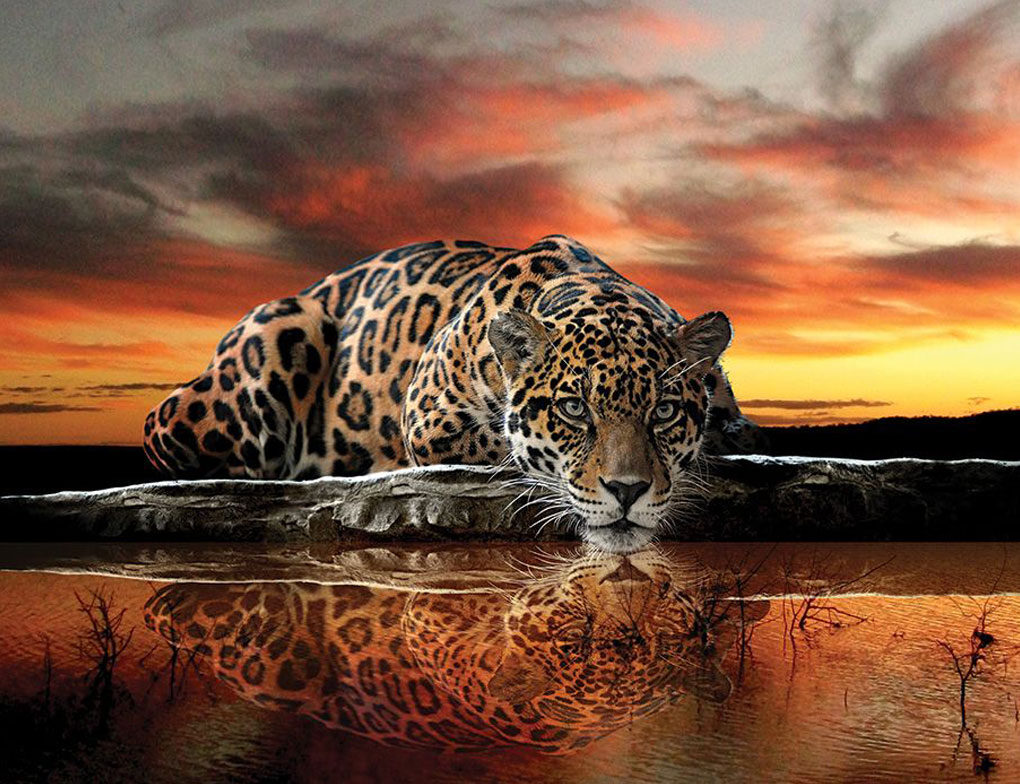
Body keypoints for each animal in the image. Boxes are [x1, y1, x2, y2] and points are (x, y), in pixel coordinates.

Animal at [143, 235, 767, 552]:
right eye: (573, 409)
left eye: (663, 411)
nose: (628, 492)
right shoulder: (428, 417)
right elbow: (507, 449)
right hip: (276, 337)